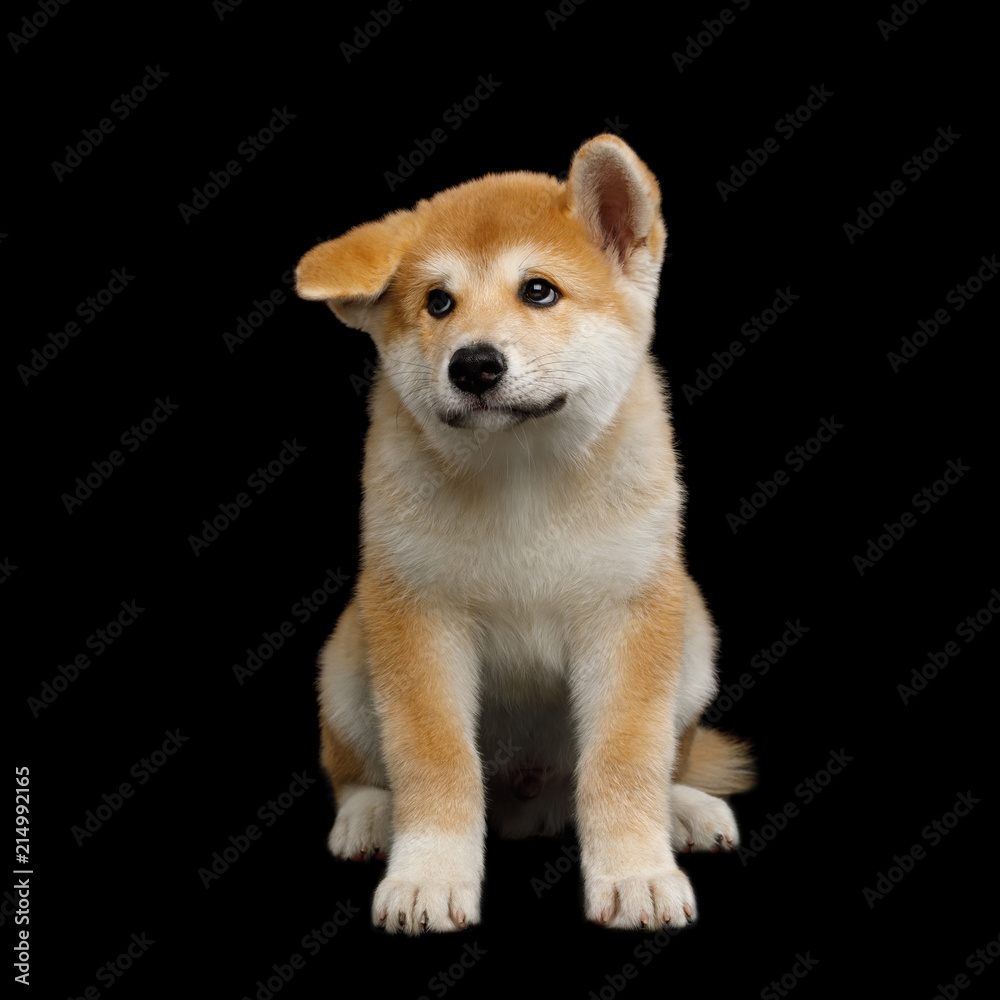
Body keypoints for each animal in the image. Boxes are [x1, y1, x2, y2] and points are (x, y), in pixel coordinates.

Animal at [292, 137, 752, 932]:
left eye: (539, 291)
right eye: (437, 303)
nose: (474, 364)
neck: (521, 470)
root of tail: (529, 802)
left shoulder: (628, 614)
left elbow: (626, 759)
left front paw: (637, 873)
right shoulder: (419, 616)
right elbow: (434, 759)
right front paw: (427, 876)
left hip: (692, 633)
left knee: (665, 756)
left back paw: (683, 809)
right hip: (348, 654)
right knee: (356, 769)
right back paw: (369, 817)